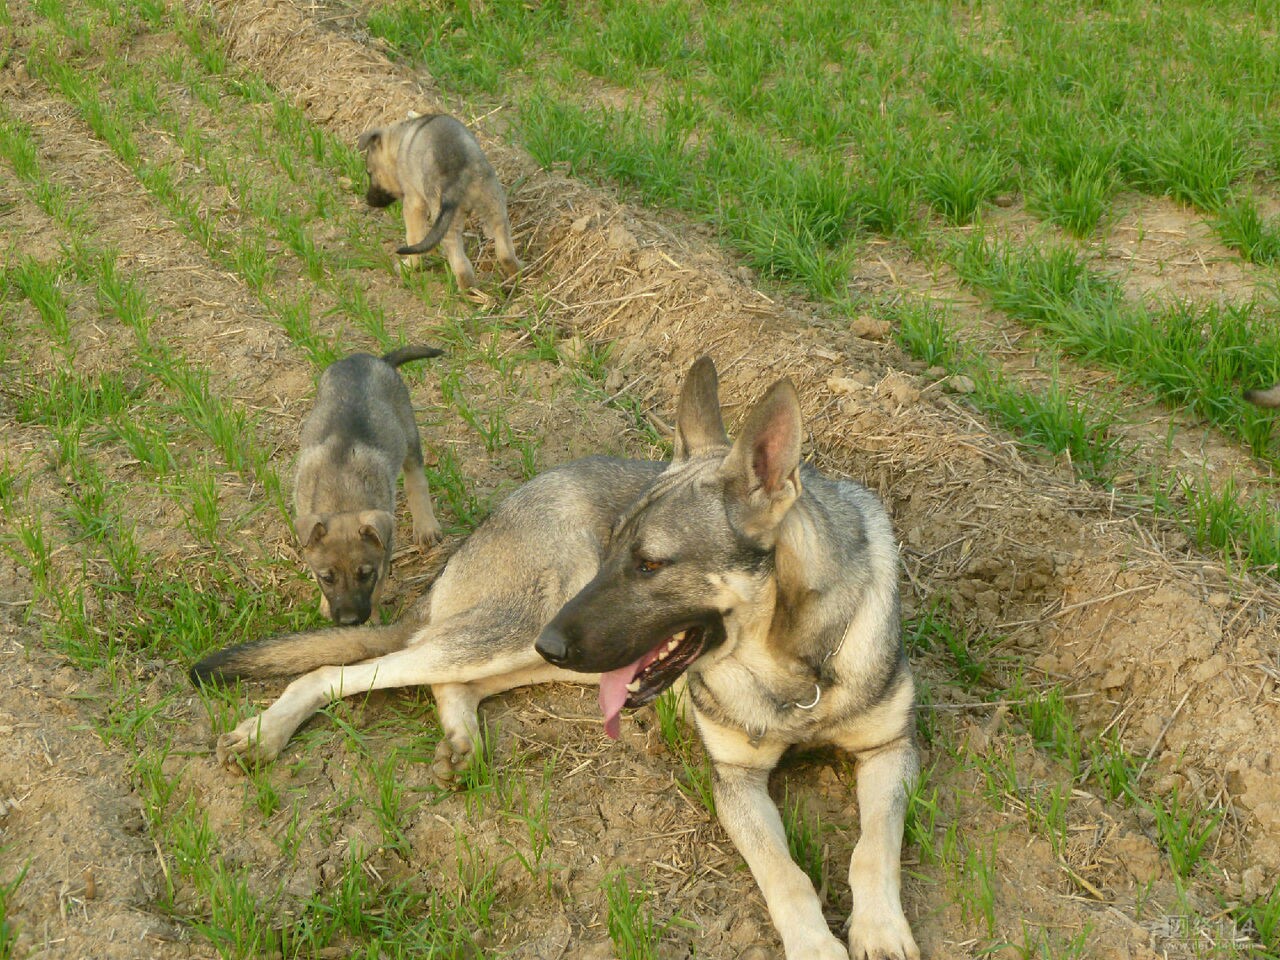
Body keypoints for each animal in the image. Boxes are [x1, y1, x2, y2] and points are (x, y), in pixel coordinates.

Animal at [293, 343, 445, 624]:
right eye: (327, 578)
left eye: (365, 574)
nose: (350, 621)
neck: (341, 500)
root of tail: (376, 360)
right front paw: (324, 604)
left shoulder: (383, 559)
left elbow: (375, 594)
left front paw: (373, 622)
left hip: (408, 433)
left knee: (416, 479)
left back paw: (426, 526)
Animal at [355, 113, 519, 289]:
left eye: (369, 173)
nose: (368, 201)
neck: (398, 141)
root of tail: (457, 172)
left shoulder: (413, 202)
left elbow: (414, 236)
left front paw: (409, 266)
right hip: (494, 203)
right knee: (505, 250)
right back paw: (516, 273)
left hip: (447, 221)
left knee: (461, 265)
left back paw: (466, 291)